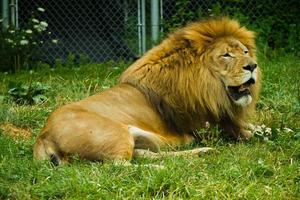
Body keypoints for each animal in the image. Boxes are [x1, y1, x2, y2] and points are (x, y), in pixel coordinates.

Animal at [34, 17, 262, 165]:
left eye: (245, 51)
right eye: (226, 55)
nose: (253, 66)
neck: (212, 88)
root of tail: (44, 137)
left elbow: (259, 127)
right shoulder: (211, 126)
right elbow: (250, 134)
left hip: (136, 137)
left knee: (143, 155)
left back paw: (200, 153)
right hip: (116, 135)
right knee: (118, 168)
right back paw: (163, 168)